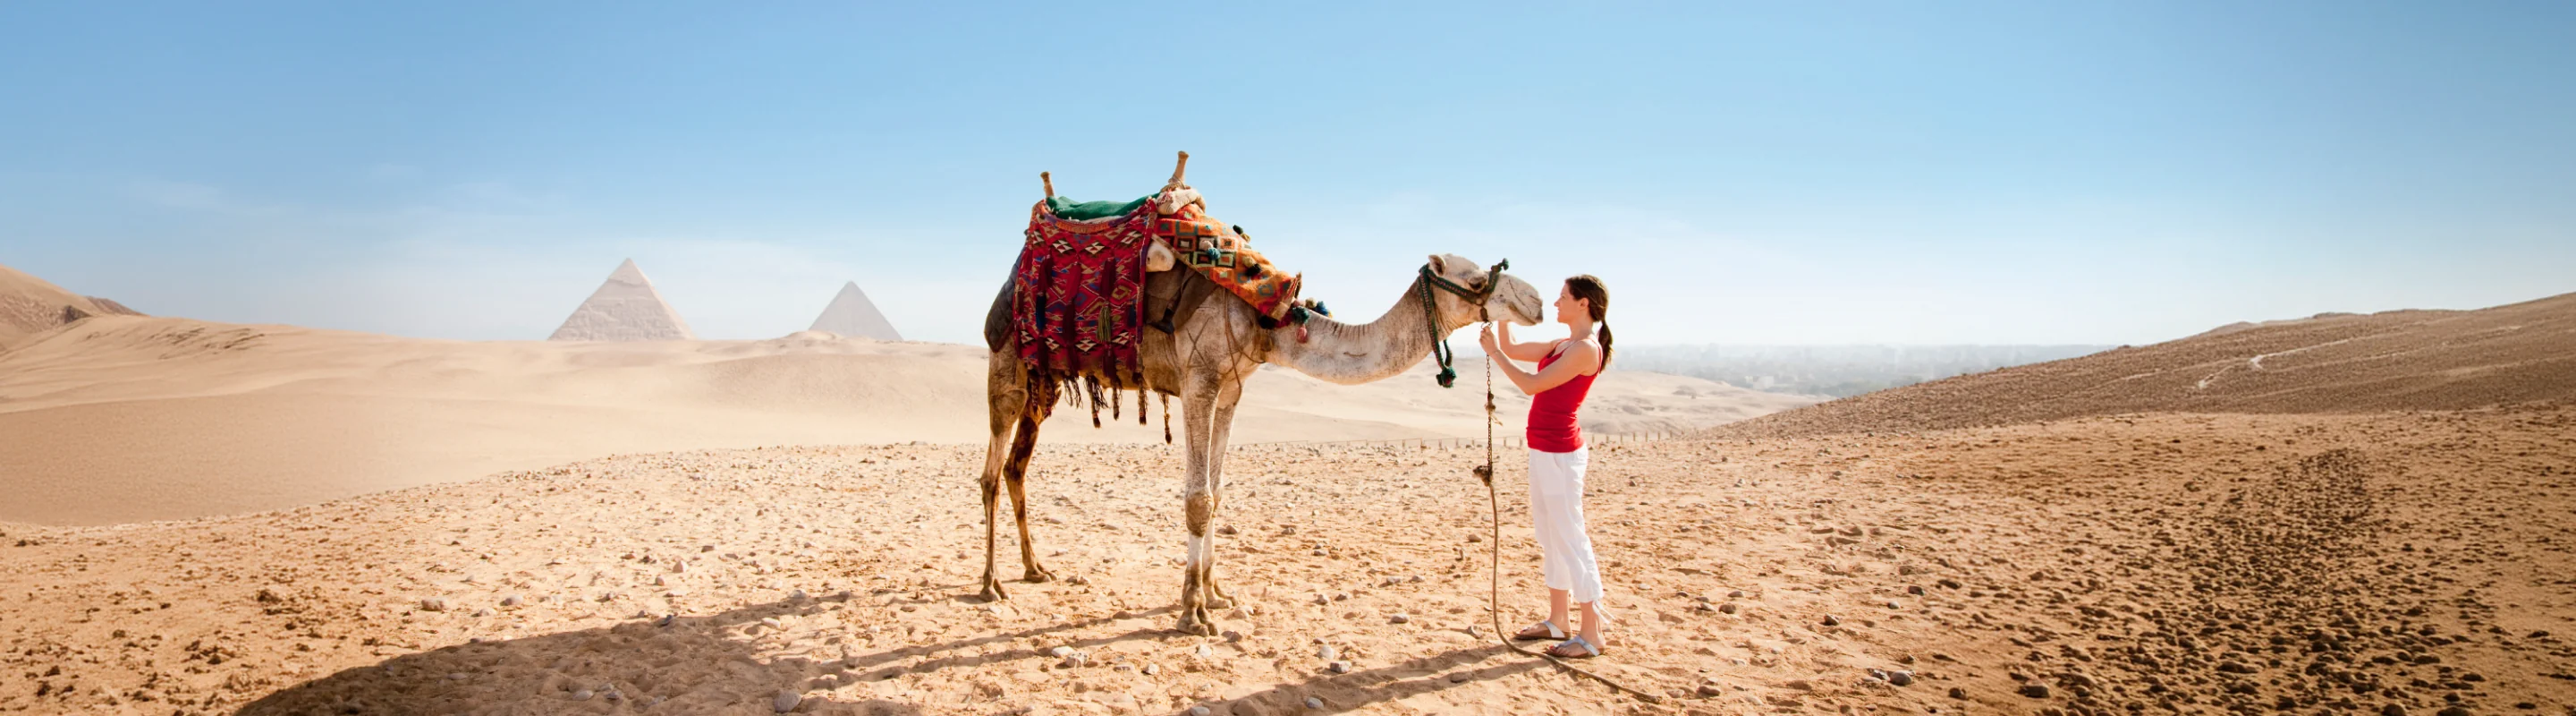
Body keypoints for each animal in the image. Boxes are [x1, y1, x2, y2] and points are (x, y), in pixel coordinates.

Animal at [977, 154, 1545, 635]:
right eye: (1478, 280)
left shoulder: (1231, 390)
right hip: (1007, 366)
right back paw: (991, 584)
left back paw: (1034, 568)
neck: (1266, 318)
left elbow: (1219, 491)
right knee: (991, 472)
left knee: (1017, 467)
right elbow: (1199, 498)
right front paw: (1193, 612)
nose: (1537, 301)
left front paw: (1217, 593)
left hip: (1045, 381)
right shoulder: (1199, 382)